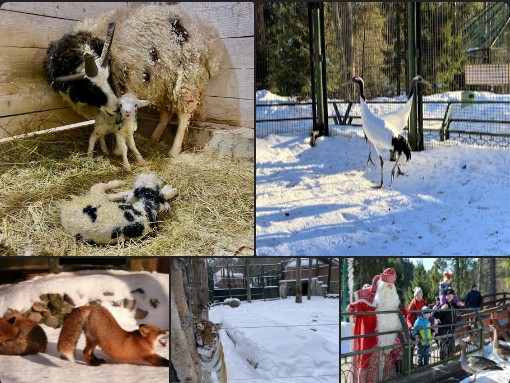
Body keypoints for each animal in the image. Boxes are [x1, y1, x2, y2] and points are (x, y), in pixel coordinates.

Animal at [44, 4, 224, 158]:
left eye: (109, 76)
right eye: (87, 85)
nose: (115, 106)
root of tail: (209, 34)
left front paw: (116, 149)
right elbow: (99, 123)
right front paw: (103, 147)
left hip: (187, 80)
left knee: (183, 115)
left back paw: (174, 151)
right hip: (165, 82)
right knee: (167, 112)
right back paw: (155, 137)